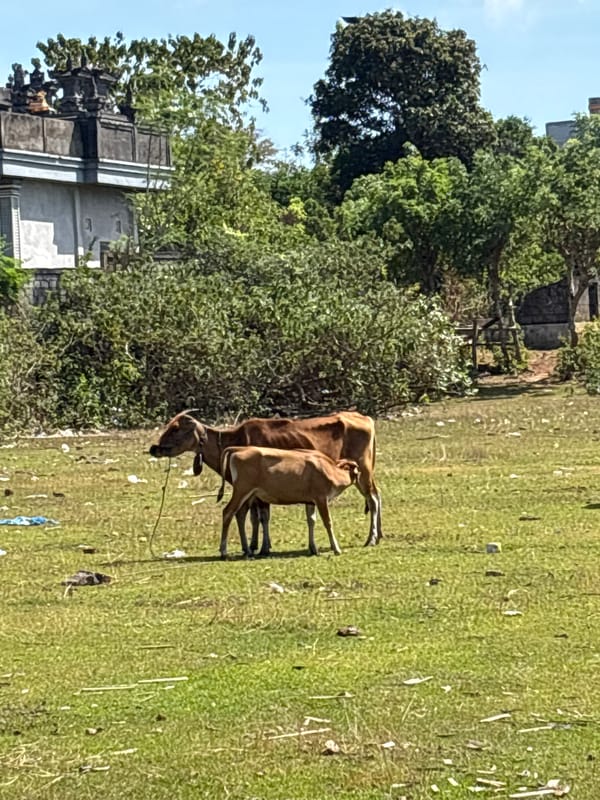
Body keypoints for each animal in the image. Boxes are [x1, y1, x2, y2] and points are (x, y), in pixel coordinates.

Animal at [216, 446, 360, 558]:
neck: (330, 470)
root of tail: (239, 449)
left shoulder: (311, 501)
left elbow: (311, 521)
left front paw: (313, 548)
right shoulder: (321, 498)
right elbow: (328, 522)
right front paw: (336, 549)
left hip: (249, 495)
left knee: (239, 514)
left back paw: (247, 550)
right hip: (242, 491)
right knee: (227, 512)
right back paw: (224, 551)